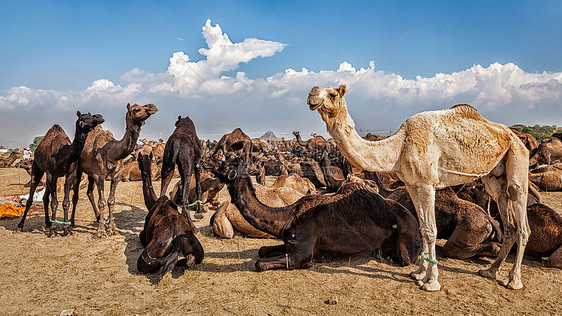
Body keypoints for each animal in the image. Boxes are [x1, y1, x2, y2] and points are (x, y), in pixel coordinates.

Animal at [67, 103, 156, 237]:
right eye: (136, 109)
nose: (152, 107)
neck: (110, 152)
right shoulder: (99, 175)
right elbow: (102, 202)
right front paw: (100, 231)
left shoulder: (116, 176)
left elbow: (111, 201)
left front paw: (112, 228)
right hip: (79, 169)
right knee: (76, 195)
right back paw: (72, 222)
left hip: (91, 174)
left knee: (89, 192)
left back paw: (99, 217)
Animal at [137, 152, 203, 282]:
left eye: (139, 161)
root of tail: (178, 239)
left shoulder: (143, 234)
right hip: (199, 250)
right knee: (189, 260)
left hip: (148, 253)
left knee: (149, 261)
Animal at [210, 156, 420, 270]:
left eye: (227, 164)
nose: (211, 165)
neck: (287, 217)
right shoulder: (289, 243)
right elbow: (262, 251)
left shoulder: (301, 254)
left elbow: (260, 263)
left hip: (406, 237)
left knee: (406, 259)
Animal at [308, 84, 528, 292]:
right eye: (315, 90)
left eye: (333, 94)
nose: (311, 96)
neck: (399, 148)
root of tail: (516, 137)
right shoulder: (412, 185)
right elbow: (422, 229)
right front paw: (419, 273)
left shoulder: (426, 184)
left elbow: (431, 230)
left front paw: (431, 282)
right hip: (495, 178)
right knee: (508, 221)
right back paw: (490, 271)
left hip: (518, 157)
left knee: (522, 220)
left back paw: (514, 280)